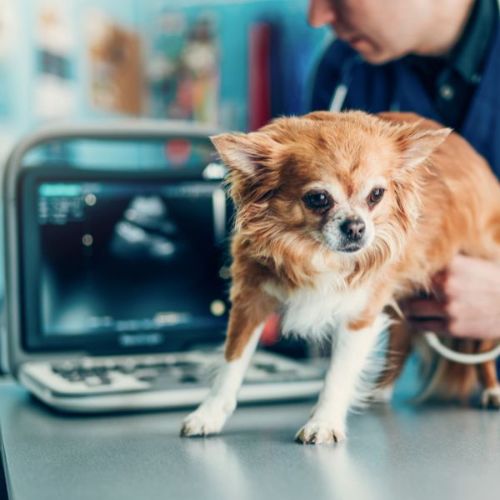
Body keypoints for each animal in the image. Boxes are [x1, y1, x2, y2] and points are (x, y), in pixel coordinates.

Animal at [180, 111, 500, 444]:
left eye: (376, 195)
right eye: (318, 198)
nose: (356, 226)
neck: (316, 252)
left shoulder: (358, 315)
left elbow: (337, 374)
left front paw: (323, 422)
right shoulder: (250, 302)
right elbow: (231, 364)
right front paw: (208, 415)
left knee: (483, 347)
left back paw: (492, 390)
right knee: (402, 337)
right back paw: (381, 391)